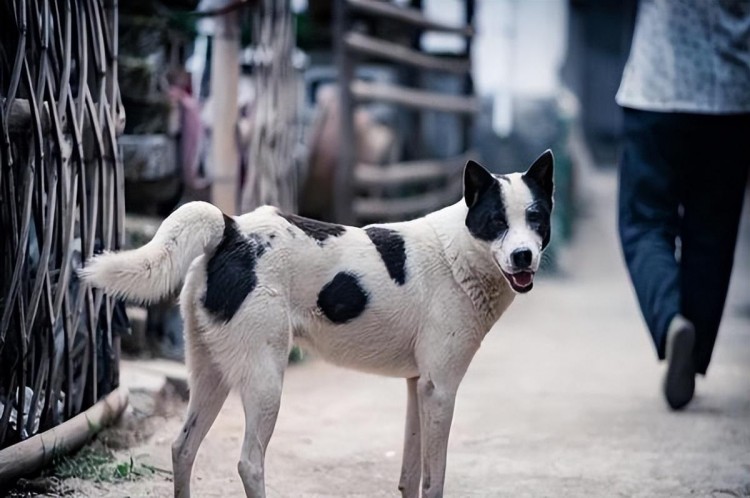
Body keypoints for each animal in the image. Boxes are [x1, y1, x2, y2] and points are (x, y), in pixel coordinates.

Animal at [82, 151, 556, 498]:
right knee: (249, 462)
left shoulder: (417, 386)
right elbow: (433, 480)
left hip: (210, 375)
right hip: (265, 381)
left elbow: (409, 477)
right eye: (496, 222)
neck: (459, 253)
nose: (523, 257)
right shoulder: (439, 389)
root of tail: (231, 229)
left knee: (182, 448)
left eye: (536, 219)